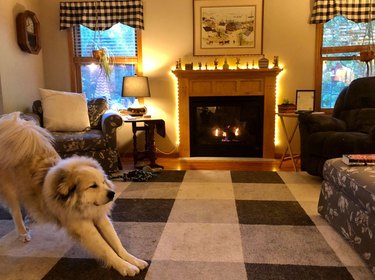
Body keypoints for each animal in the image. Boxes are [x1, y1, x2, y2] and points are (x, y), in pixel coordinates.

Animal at [0, 112, 148, 276]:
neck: (81, 205)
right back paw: (23, 232)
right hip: (11, 191)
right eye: (93, 186)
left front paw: (132, 260)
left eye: (103, 182)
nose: (112, 193)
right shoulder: (84, 228)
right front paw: (124, 266)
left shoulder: (101, 218)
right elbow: (107, 249)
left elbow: (117, 244)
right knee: (15, 212)